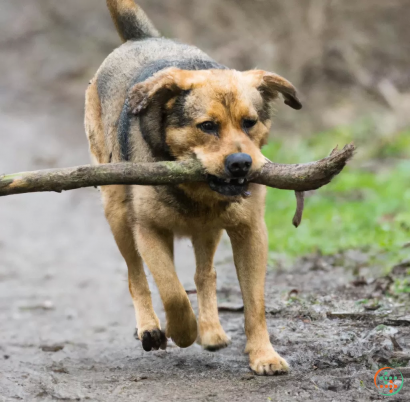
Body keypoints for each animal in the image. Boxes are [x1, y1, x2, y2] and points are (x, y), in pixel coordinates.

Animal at [85, 0, 302, 376]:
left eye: (250, 122)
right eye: (207, 126)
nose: (241, 163)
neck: (198, 189)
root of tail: (142, 38)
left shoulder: (250, 230)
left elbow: (254, 301)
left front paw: (263, 355)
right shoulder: (148, 230)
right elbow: (171, 291)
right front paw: (181, 330)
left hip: (208, 230)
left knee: (205, 274)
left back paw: (211, 330)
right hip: (116, 210)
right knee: (136, 275)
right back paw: (152, 327)